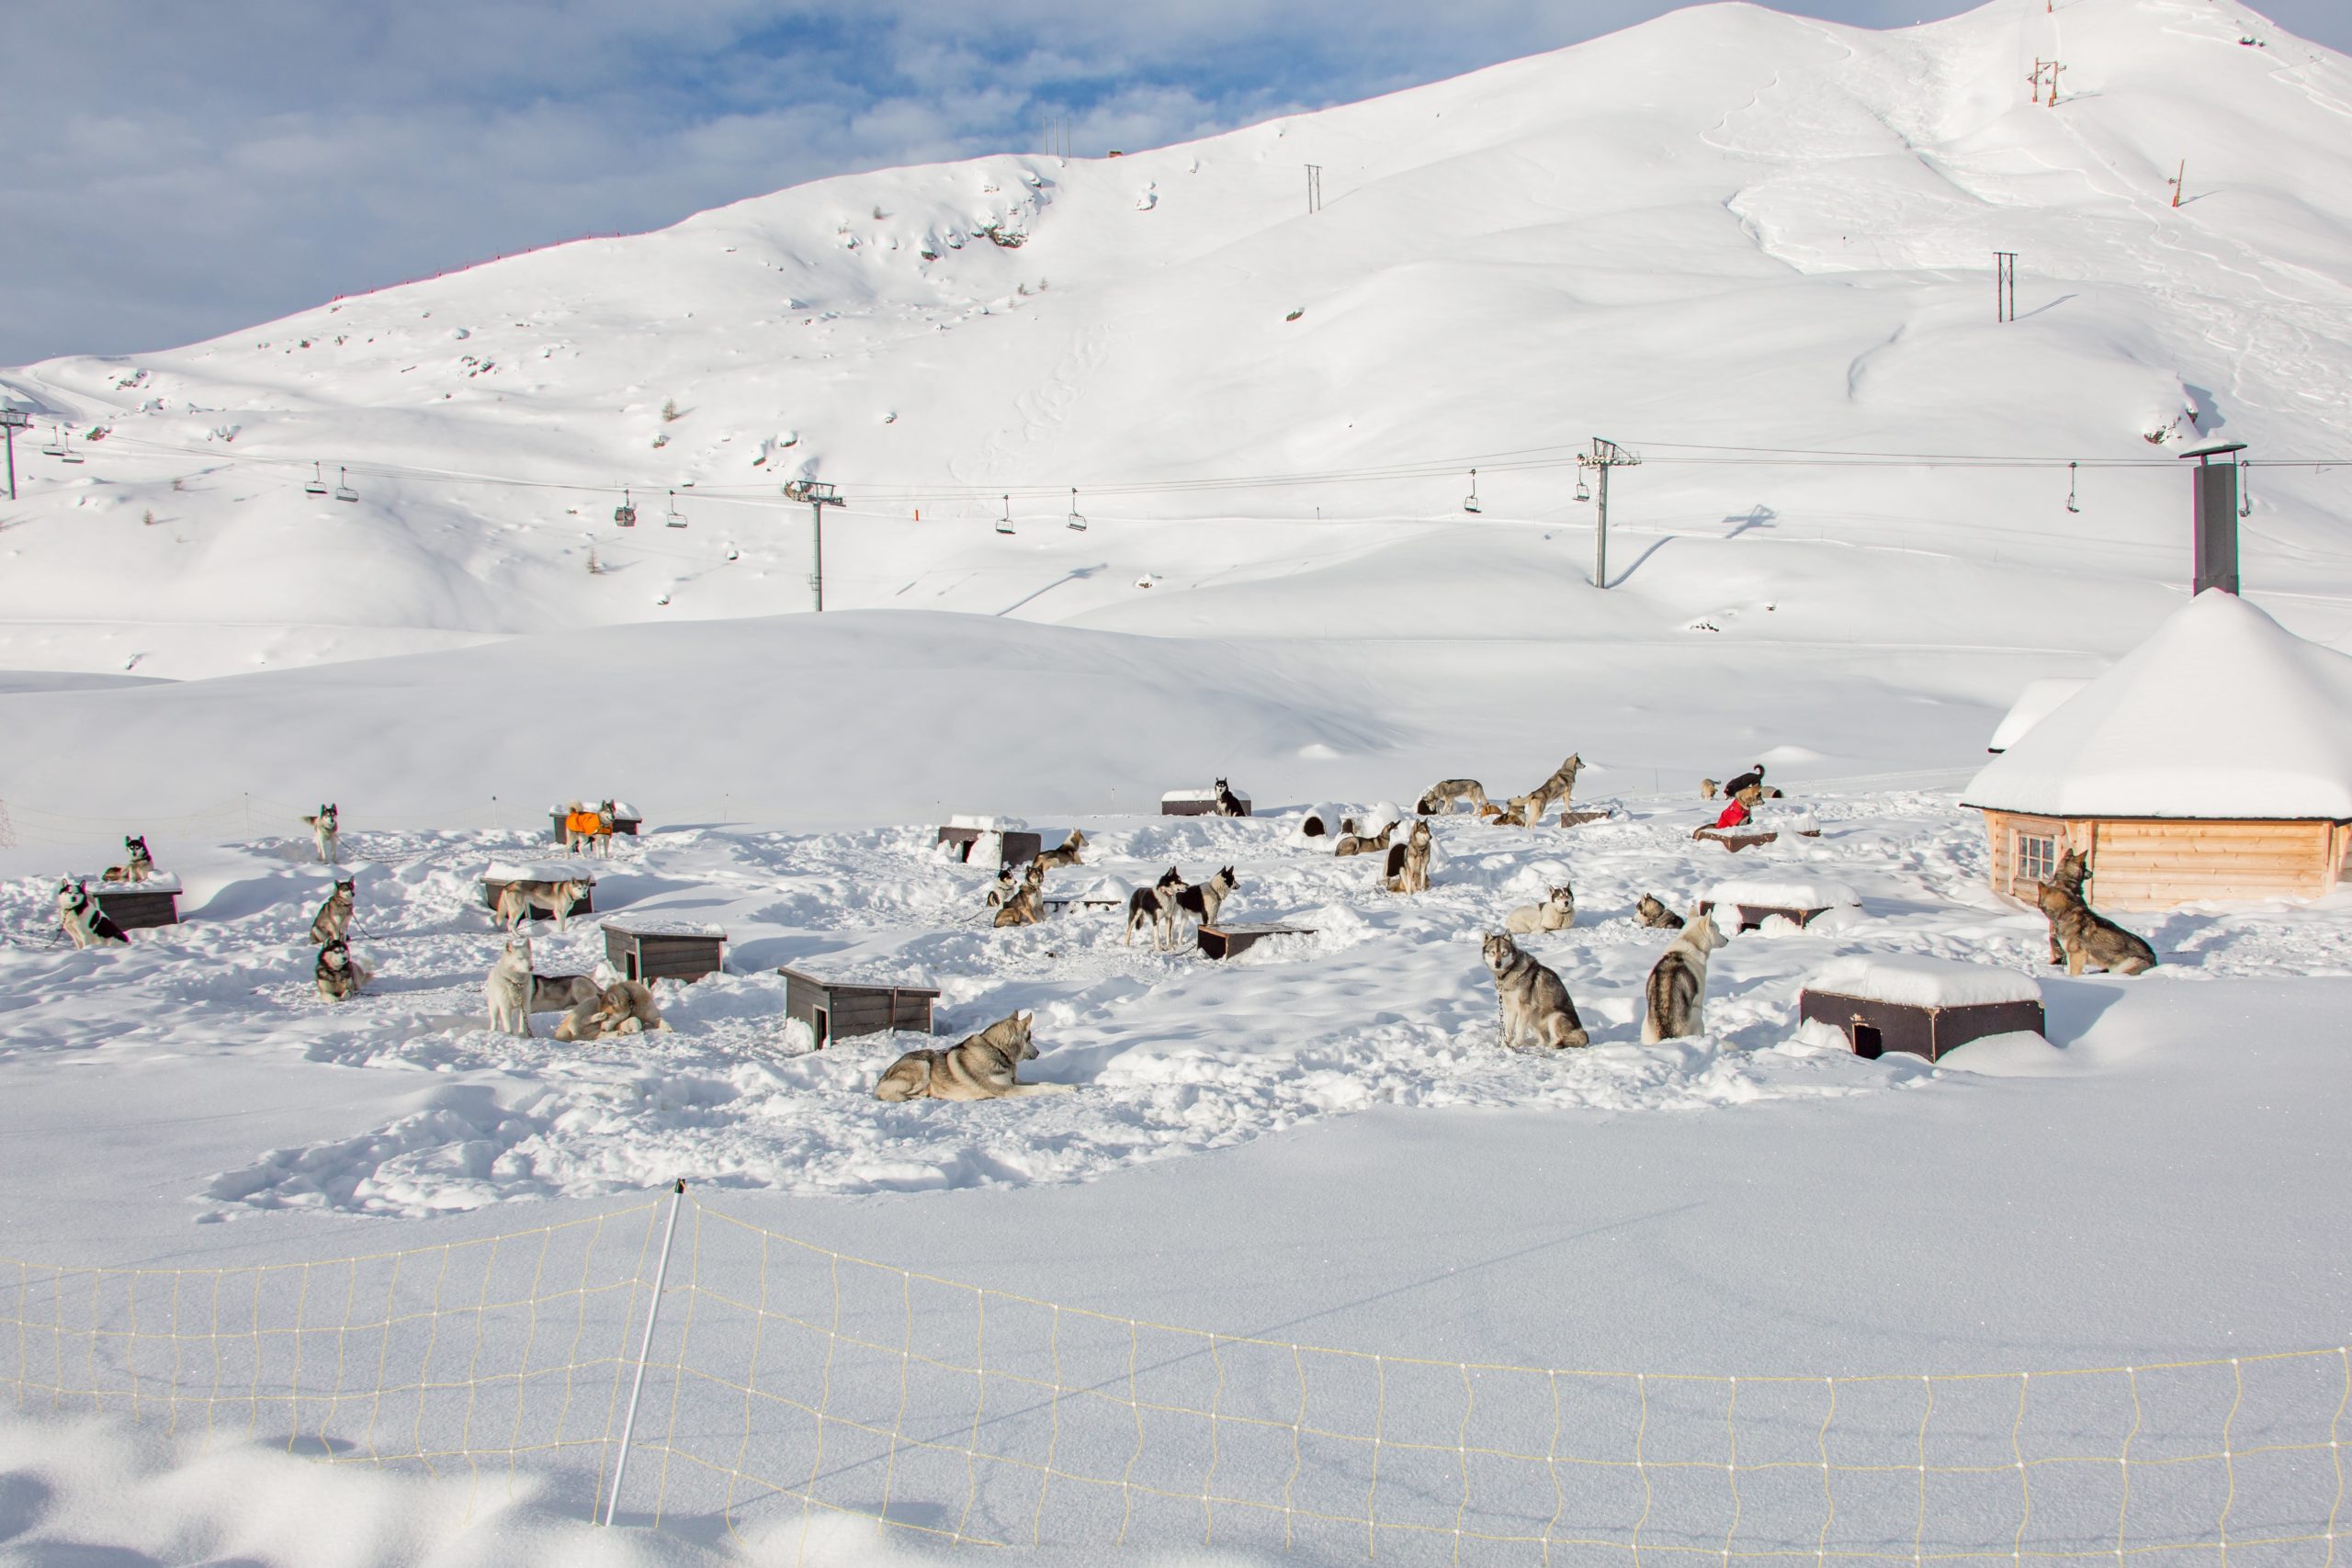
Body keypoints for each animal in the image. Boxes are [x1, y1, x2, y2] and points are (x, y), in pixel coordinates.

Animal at [875, 1020, 1077, 1104]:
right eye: (1029, 1038)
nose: (1039, 1051)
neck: (998, 1052)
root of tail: (881, 1079)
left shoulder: (1014, 1082)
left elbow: (1044, 1083)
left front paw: (1069, 1086)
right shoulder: (1008, 1089)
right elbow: (1042, 1087)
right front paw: (1067, 1089)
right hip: (922, 1066)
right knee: (890, 1094)